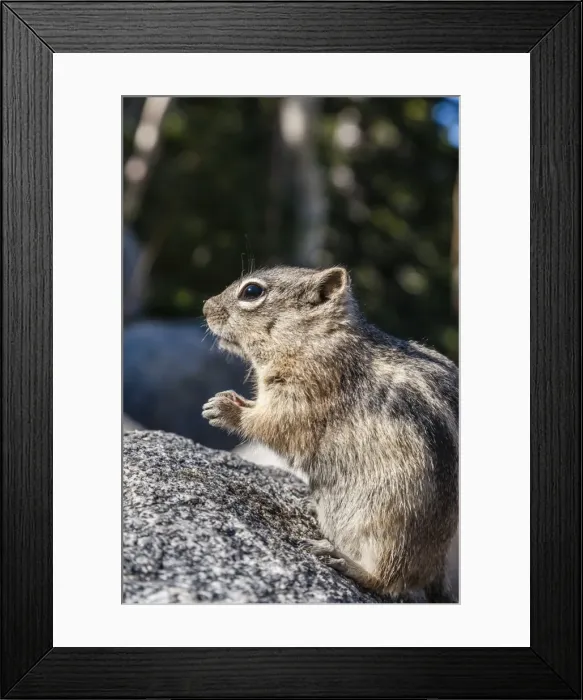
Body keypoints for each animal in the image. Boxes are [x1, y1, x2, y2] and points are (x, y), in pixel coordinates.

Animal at [202, 266, 458, 602]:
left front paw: (224, 409)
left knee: (391, 579)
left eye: (252, 291)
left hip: (391, 526)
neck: (317, 338)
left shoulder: (306, 392)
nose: (205, 307)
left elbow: (274, 423)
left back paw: (344, 560)